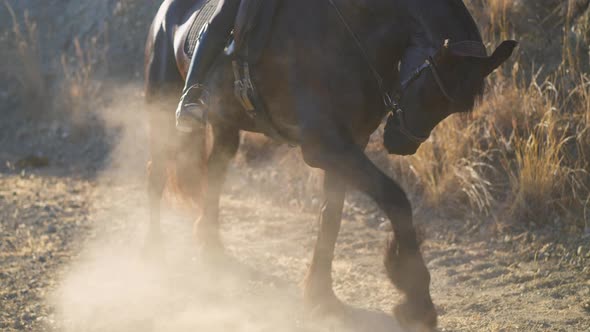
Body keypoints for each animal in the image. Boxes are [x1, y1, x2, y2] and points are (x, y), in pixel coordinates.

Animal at [145, 0, 520, 330]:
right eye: (431, 92)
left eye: (451, 107)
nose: (403, 144)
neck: (353, 30)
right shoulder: (324, 145)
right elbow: (396, 200)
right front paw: (417, 302)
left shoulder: (348, 144)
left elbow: (332, 217)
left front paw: (321, 297)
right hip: (164, 110)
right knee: (157, 173)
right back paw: (152, 252)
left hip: (226, 125)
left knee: (214, 172)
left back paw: (209, 246)